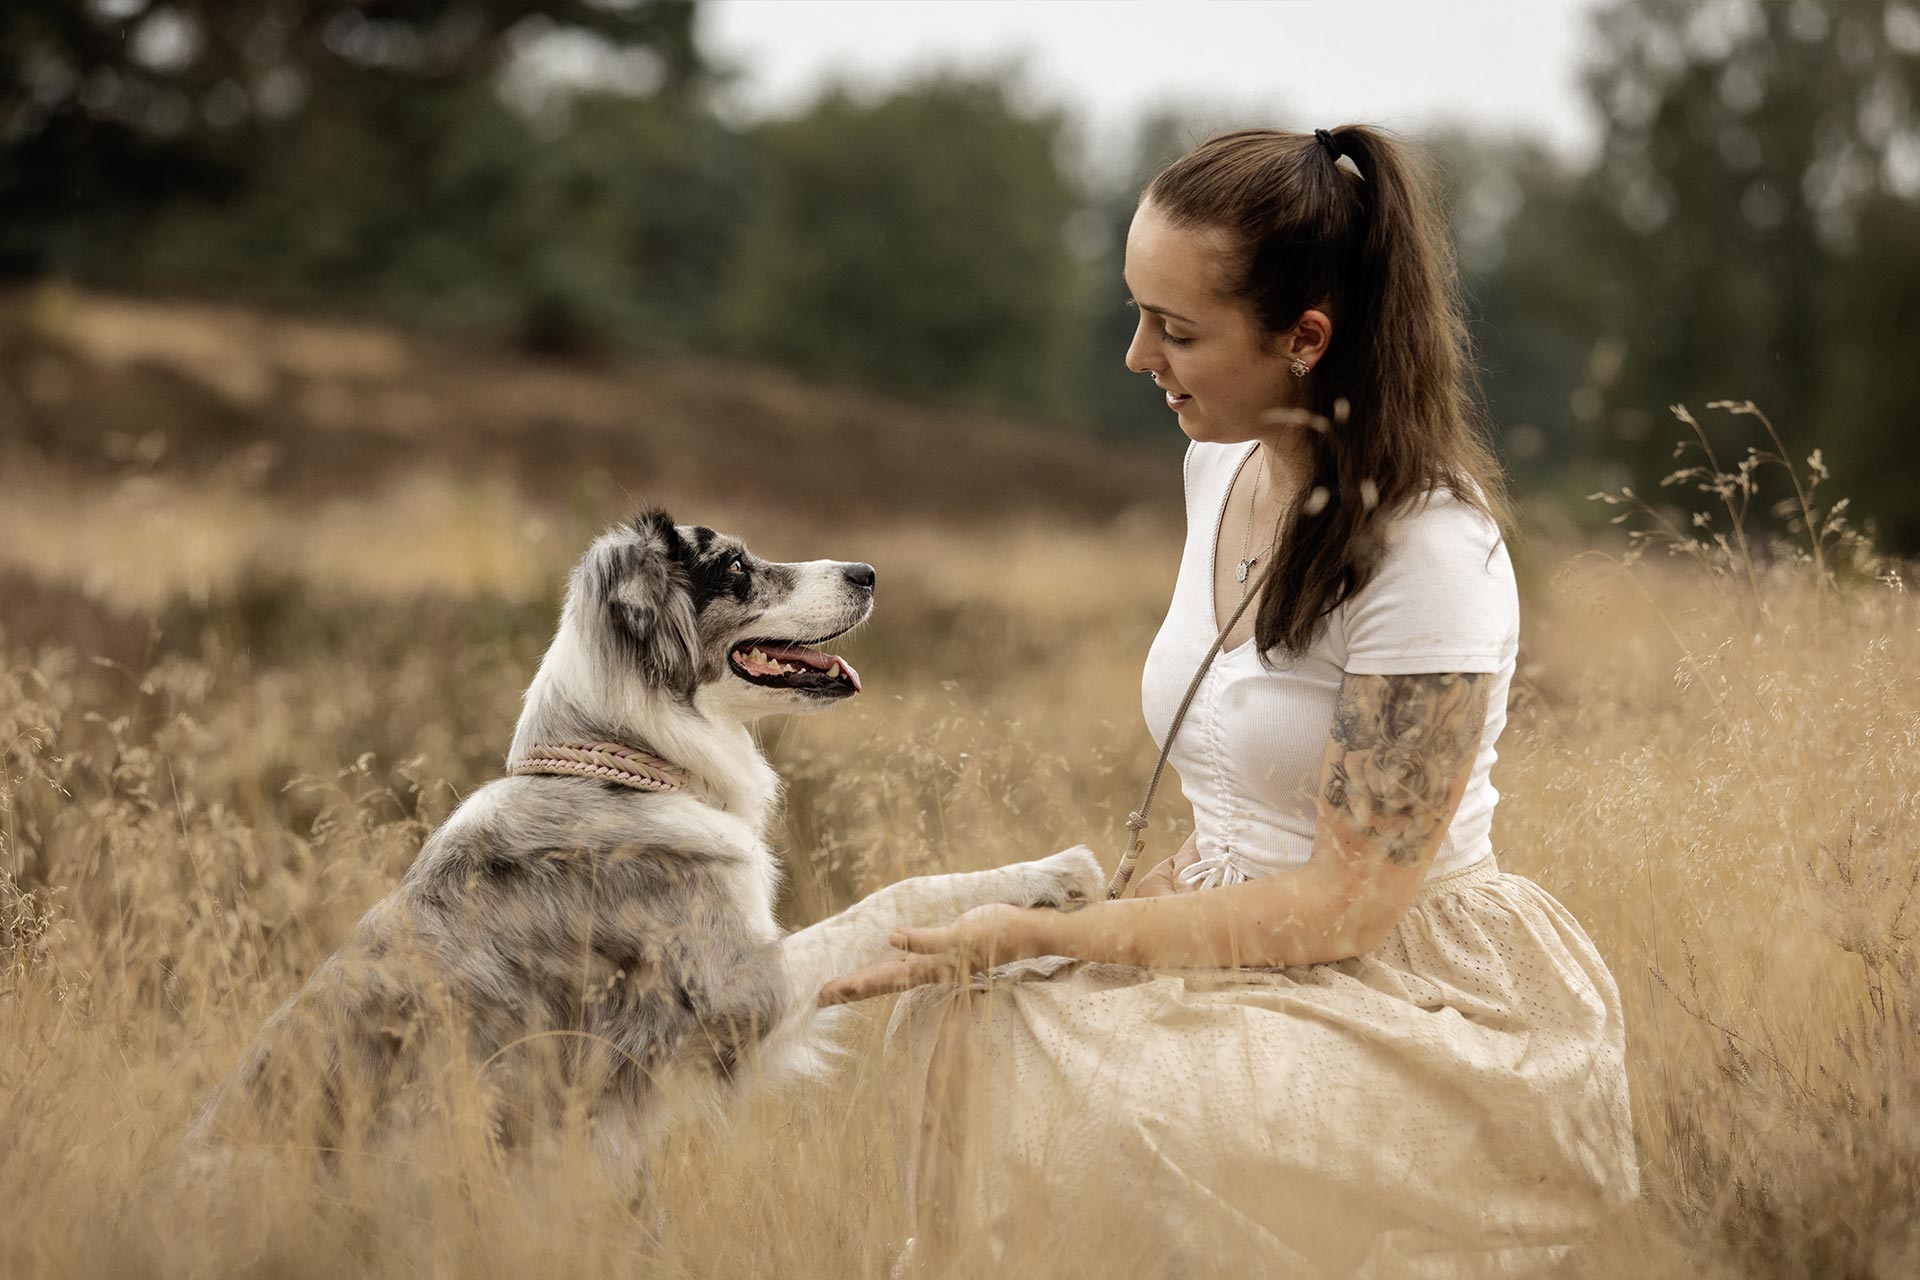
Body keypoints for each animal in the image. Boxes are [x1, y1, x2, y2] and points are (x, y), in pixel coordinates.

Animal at [189, 506, 1113, 1182]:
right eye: (735, 568)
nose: (869, 573)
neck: (626, 767)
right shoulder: (738, 990)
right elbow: (898, 896)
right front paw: (1051, 873)